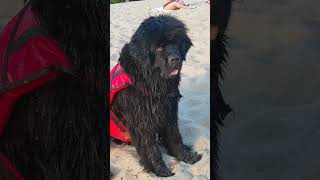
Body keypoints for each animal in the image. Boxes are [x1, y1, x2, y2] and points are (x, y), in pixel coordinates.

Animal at [110, 14, 200, 177]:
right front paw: (160, 169)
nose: (175, 58)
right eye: (158, 48)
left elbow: (175, 135)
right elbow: (150, 147)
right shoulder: (141, 120)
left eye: (176, 43)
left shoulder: (169, 110)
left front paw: (185, 156)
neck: (152, 83)